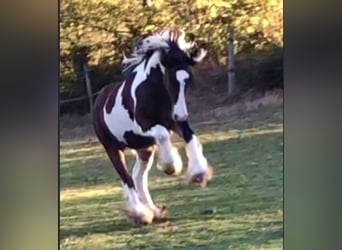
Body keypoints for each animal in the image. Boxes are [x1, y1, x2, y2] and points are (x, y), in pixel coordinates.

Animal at [93, 29, 211, 225]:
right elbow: (163, 135)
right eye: (171, 81)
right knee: (127, 179)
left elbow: (190, 136)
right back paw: (141, 214)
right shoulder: (145, 124)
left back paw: (154, 211)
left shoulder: (173, 122)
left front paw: (198, 174)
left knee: (138, 177)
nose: (182, 115)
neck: (153, 91)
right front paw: (171, 166)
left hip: (145, 149)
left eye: (189, 81)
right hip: (112, 148)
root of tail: (99, 99)